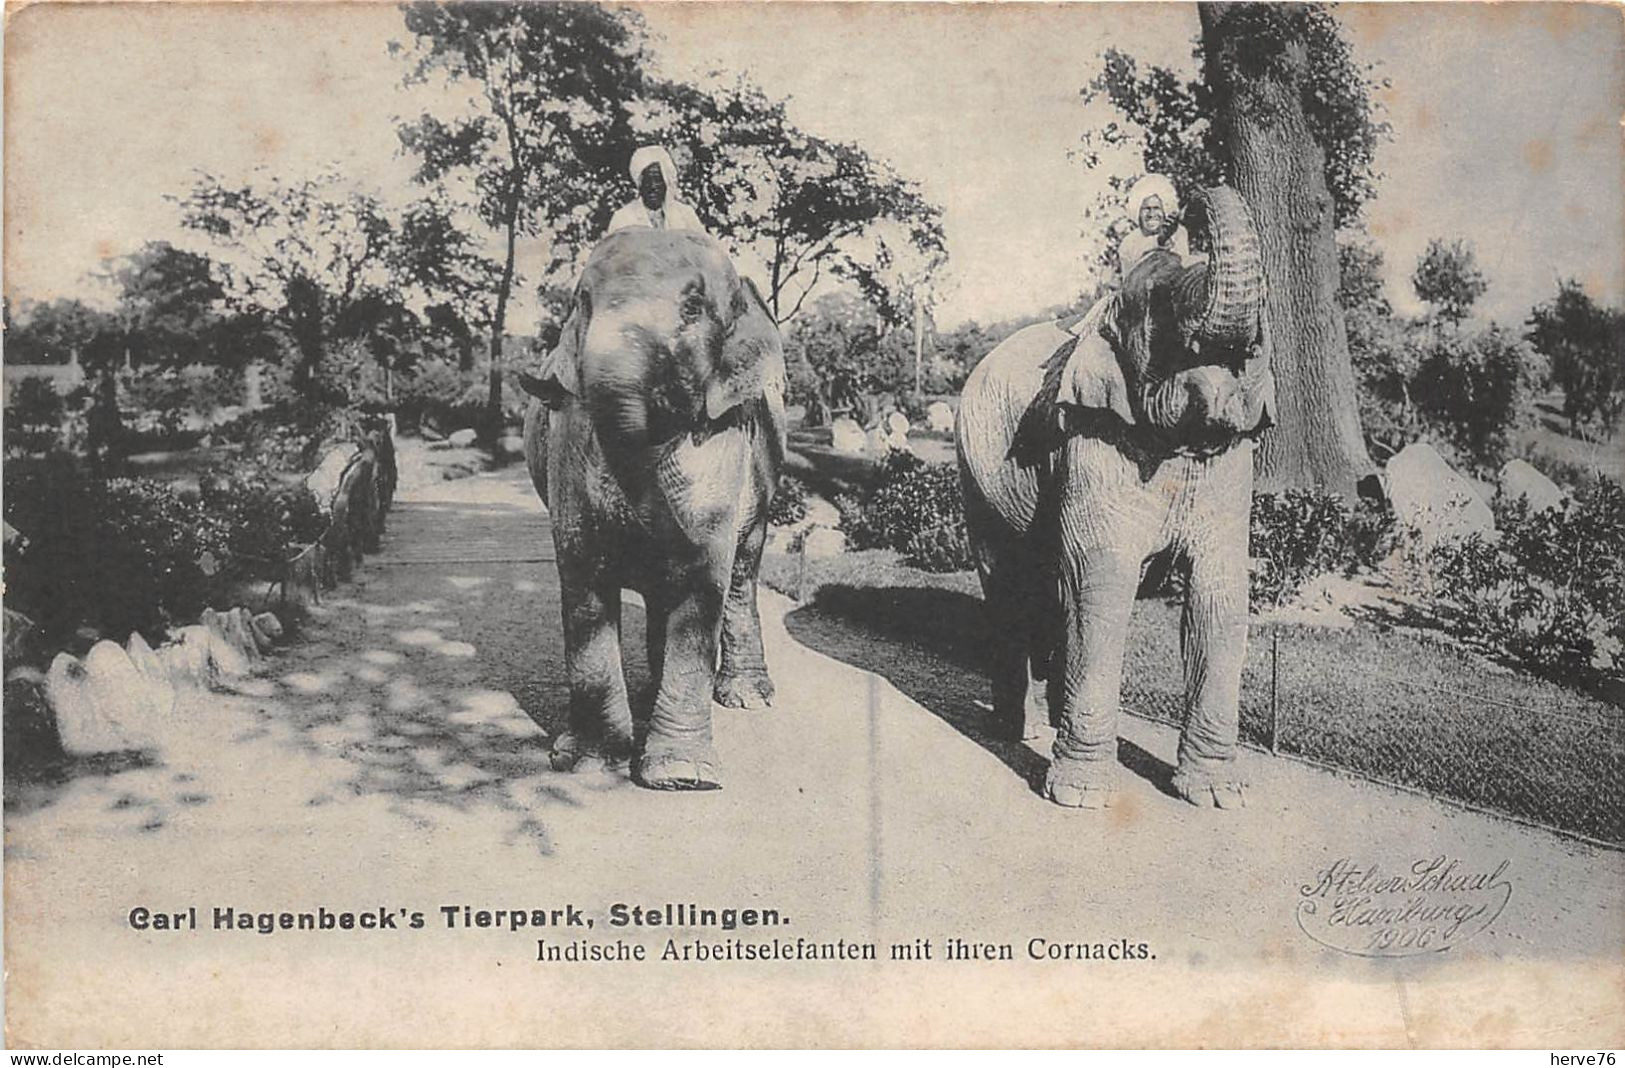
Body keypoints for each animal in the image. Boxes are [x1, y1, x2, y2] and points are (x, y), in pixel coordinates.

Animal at [513, 227, 780, 790]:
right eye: (581, 302)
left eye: (694, 307)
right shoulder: (572, 441)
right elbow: (583, 571)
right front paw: (592, 763)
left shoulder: (724, 435)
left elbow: (704, 578)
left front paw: (681, 778)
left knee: (741, 574)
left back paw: (746, 699)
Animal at [955, 187, 1274, 812]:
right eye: (1160, 302)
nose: (1185, 202)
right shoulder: (1092, 437)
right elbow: (1102, 584)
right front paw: (1080, 797)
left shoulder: (1232, 462)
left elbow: (1220, 594)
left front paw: (1219, 795)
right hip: (977, 482)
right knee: (1009, 584)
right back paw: (1017, 730)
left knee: (1053, 590)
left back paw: (1051, 724)